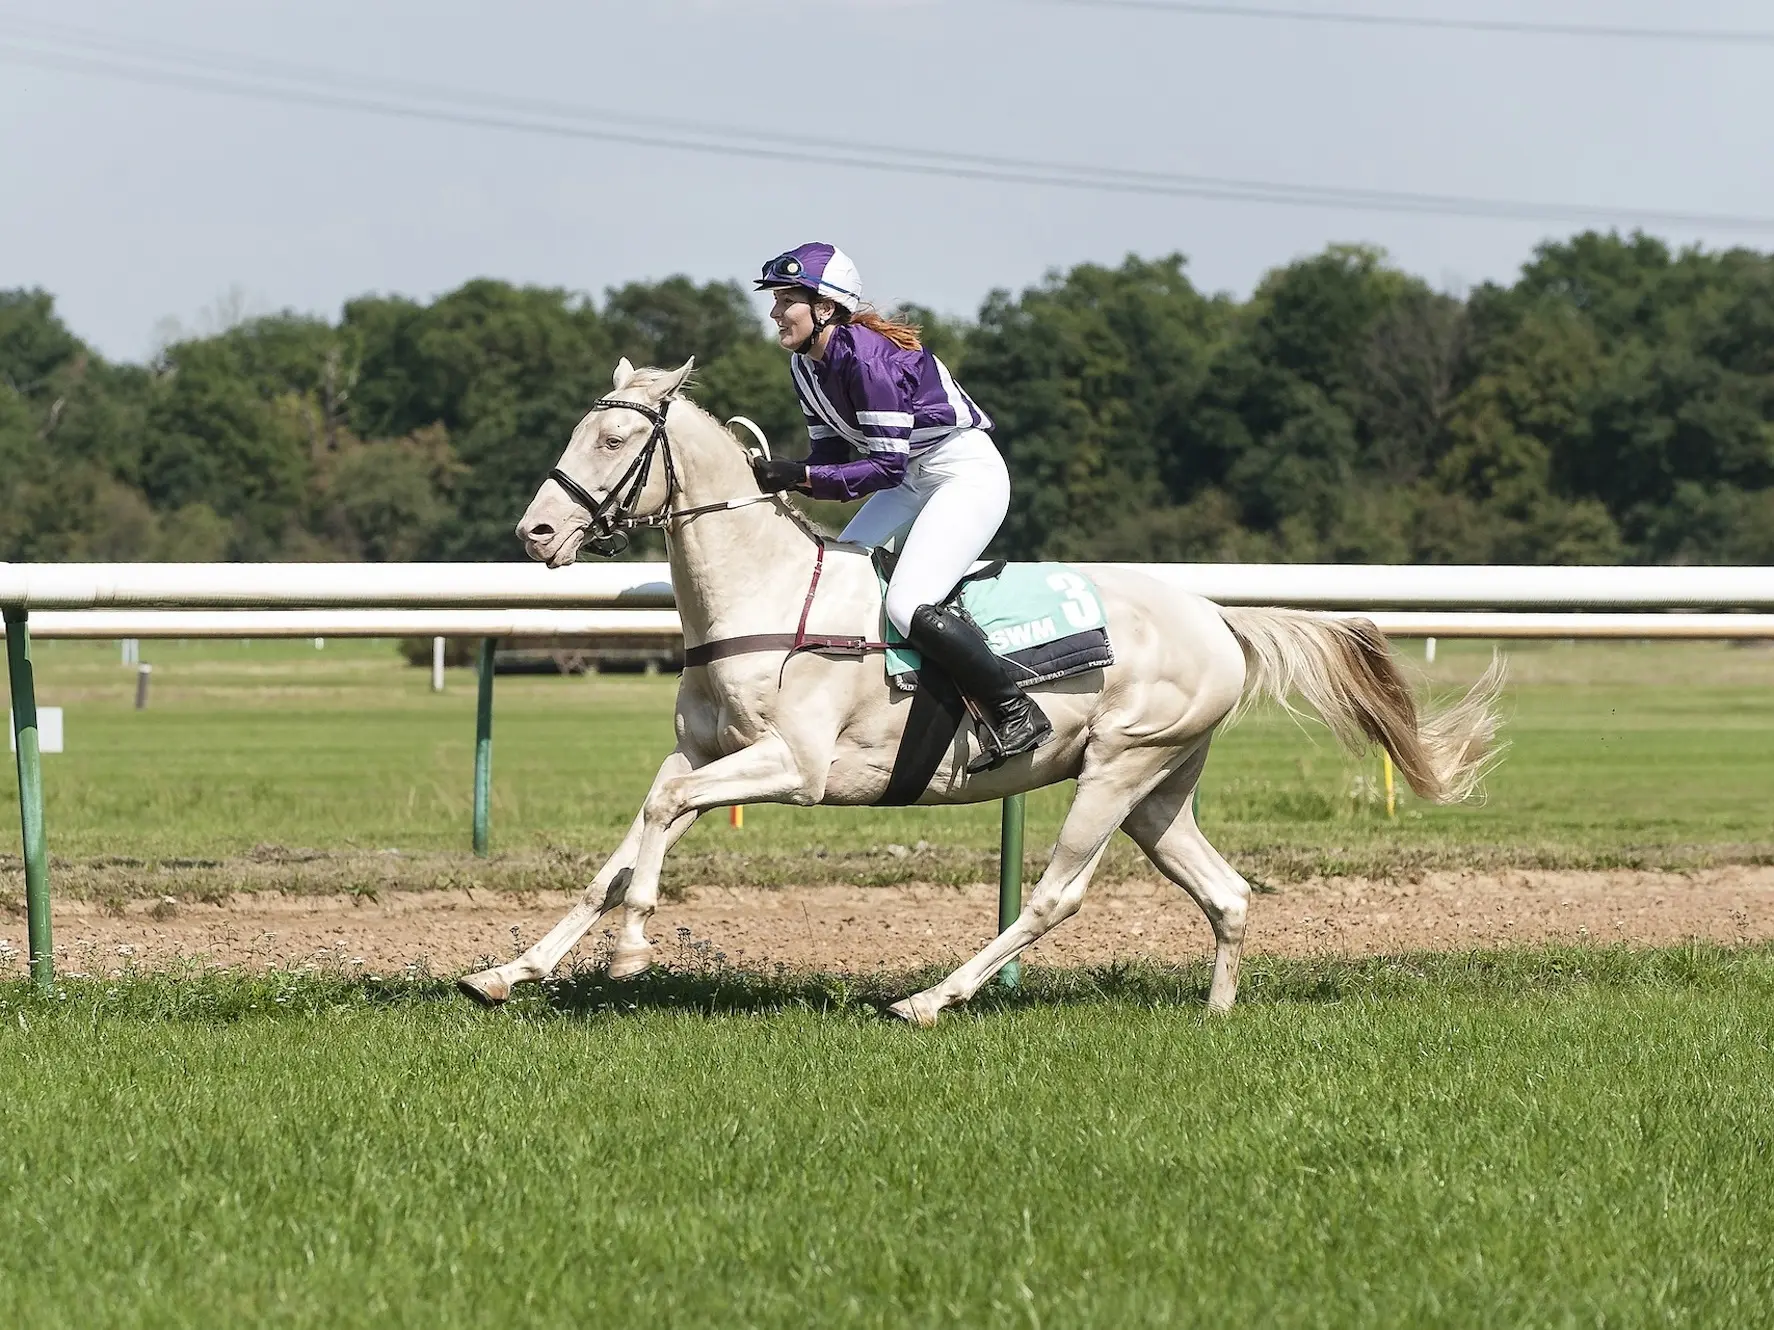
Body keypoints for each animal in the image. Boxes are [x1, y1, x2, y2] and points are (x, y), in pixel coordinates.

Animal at [454, 359, 1497, 1028]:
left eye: (615, 438)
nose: (533, 532)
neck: (763, 595)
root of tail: (1216, 618)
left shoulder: (793, 767)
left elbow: (661, 818)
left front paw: (633, 949)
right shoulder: (708, 752)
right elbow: (627, 844)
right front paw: (508, 972)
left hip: (1116, 772)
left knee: (1056, 897)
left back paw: (928, 1000)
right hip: (1160, 789)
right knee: (1228, 894)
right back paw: (1216, 1016)